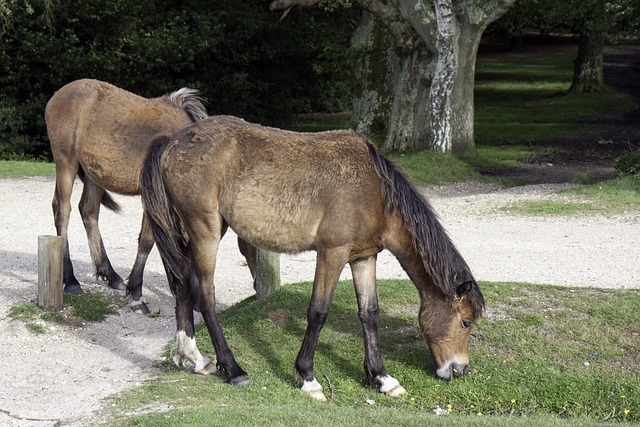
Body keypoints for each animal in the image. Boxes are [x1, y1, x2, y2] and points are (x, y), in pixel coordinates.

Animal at [45, 78, 240, 310]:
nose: (199, 304)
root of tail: (58, 94)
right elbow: (147, 241)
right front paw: (136, 291)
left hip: (94, 175)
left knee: (88, 211)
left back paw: (110, 274)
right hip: (66, 162)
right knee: (62, 212)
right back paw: (71, 280)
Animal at [141, 116, 484, 402]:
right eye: (465, 322)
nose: (459, 370)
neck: (374, 190)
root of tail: (172, 142)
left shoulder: (364, 257)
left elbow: (370, 314)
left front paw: (383, 378)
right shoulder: (332, 253)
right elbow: (318, 313)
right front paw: (308, 377)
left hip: (192, 233)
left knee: (182, 284)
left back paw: (193, 357)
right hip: (205, 230)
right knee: (204, 294)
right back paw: (233, 369)